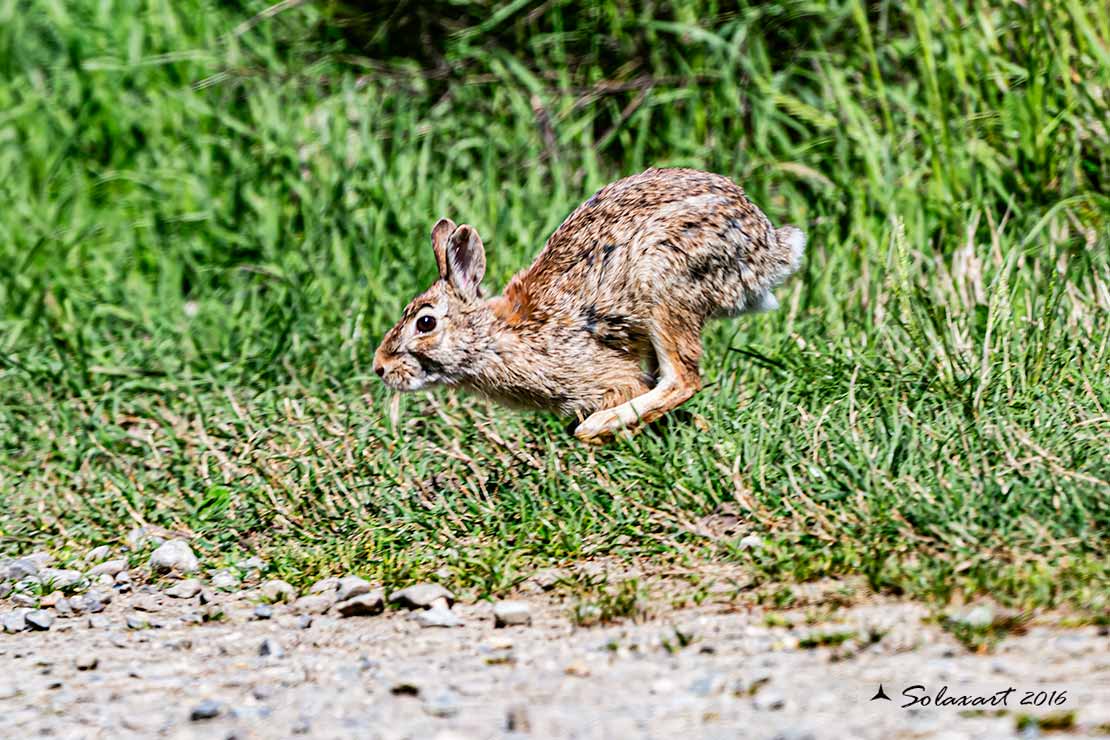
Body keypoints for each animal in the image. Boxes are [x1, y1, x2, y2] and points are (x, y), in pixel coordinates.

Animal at [373, 167, 805, 442]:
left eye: (425, 323)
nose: (380, 368)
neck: (495, 337)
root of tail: (768, 246)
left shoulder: (606, 376)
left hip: (664, 280)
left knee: (683, 379)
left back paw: (598, 428)